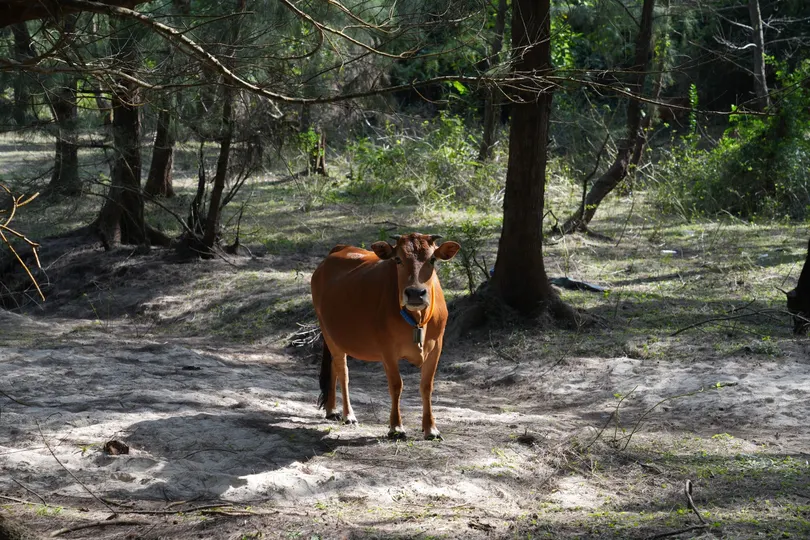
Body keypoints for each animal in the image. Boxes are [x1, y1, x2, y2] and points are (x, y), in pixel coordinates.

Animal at [310, 233, 460, 440]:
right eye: (398, 259)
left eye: (432, 259)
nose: (415, 293)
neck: (417, 320)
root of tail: (340, 248)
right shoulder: (387, 350)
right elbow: (396, 385)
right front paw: (396, 427)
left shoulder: (436, 347)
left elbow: (426, 386)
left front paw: (431, 428)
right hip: (328, 331)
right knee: (343, 371)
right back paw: (349, 414)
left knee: (333, 366)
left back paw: (332, 410)